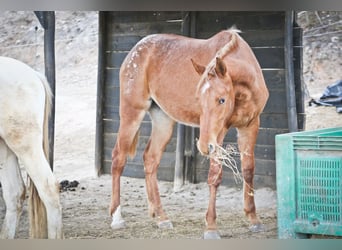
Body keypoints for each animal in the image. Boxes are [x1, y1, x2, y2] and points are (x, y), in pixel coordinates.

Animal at [109, 28, 270, 239]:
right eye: (198, 100)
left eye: (222, 100)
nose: (202, 146)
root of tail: (136, 51)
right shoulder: (218, 134)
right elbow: (214, 176)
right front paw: (211, 227)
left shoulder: (250, 126)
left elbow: (248, 170)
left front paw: (253, 219)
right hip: (132, 113)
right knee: (118, 158)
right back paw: (117, 217)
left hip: (163, 120)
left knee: (150, 159)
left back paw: (161, 217)